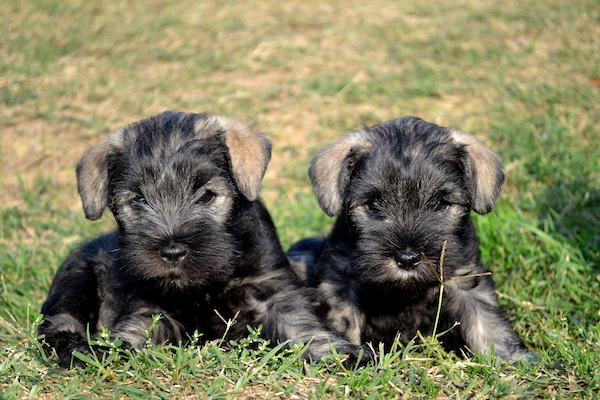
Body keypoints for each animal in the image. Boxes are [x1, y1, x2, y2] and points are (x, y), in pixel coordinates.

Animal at [37, 111, 370, 368]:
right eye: (139, 199)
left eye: (206, 195)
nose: (172, 251)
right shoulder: (150, 305)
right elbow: (135, 330)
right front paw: (107, 350)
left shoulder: (272, 290)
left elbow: (302, 324)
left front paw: (337, 352)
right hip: (76, 278)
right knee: (58, 324)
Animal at [288, 116, 536, 362]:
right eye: (373, 204)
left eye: (440, 203)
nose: (407, 258)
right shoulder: (341, 284)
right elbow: (343, 323)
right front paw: (351, 357)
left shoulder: (466, 280)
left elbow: (486, 321)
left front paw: (510, 359)